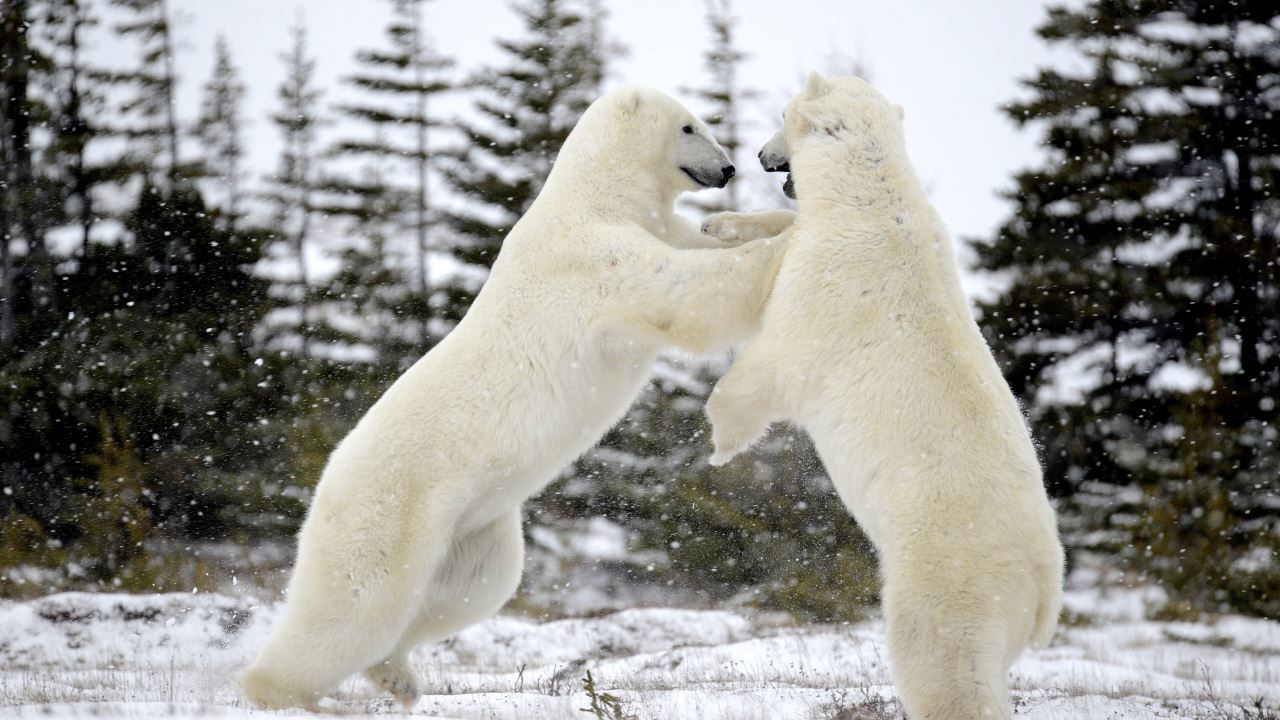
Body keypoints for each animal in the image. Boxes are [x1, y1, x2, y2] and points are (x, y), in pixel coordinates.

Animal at [235, 85, 783, 707]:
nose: (729, 168)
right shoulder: (593, 259)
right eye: (690, 127)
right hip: (388, 510)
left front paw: (754, 222)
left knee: (469, 591)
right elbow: (686, 292)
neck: (599, 197)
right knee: (354, 604)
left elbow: (697, 249)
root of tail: (327, 477)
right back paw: (277, 691)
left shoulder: (655, 226)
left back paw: (396, 674)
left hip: (474, 528)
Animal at [706, 74, 1064, 717]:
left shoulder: (833, 285)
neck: (868, 197)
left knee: (941, 666)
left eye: (781, 116)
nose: (761, 155)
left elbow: (772, 365)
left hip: (949, 577)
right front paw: (718, 226)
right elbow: (785, 231)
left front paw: (719, 443)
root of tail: (1046, 587)